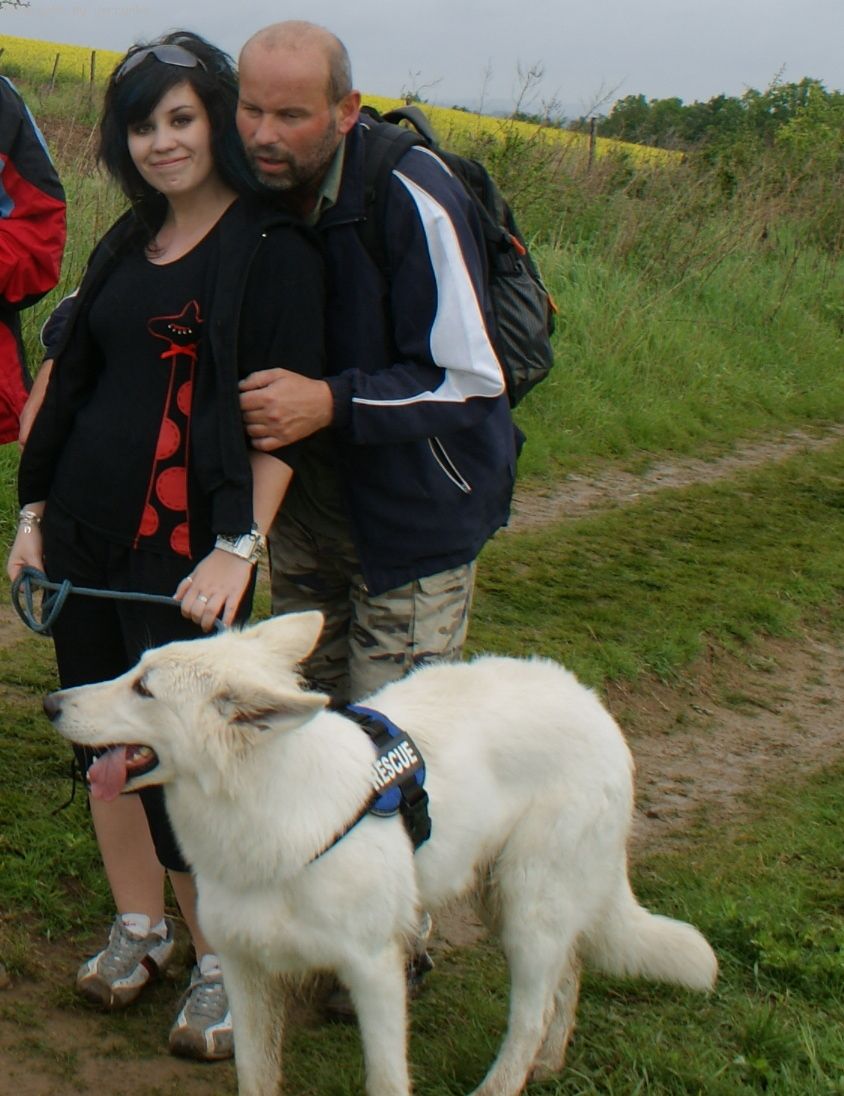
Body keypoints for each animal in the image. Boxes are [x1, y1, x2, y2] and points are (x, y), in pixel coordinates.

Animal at [44, 612, 717, 1096]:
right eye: (133, 669)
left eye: (143, 687)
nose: (51, 703)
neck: (269, 814)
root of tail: (593, 703)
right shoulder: (246, 972)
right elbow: (256, 1078)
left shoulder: (374, 971)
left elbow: (387, 1079)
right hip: (505, 898)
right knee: (567, 976)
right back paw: (549, 1065)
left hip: (529, 908)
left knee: (529, 1016)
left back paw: (510, 1079)